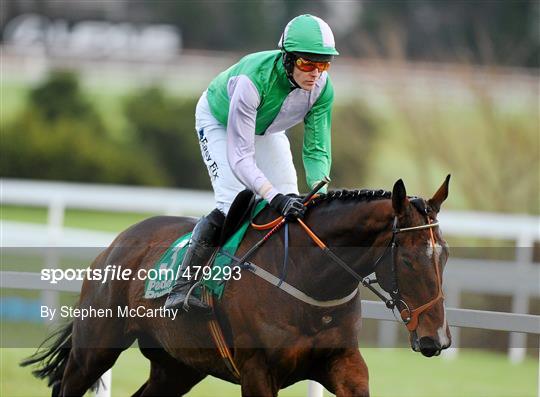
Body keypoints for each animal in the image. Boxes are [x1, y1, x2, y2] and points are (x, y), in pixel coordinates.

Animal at [21, 177, 452, 396]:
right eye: (409, 259)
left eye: (444, 254)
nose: (437, 340)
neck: (309, 279)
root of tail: (115, 243)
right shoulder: (258, 373)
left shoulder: (343, 363)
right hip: (95, 349)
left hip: (177, 366)